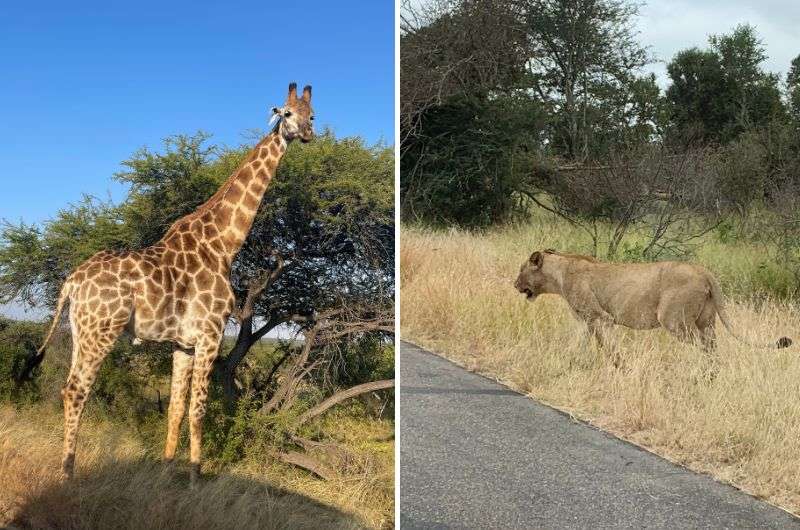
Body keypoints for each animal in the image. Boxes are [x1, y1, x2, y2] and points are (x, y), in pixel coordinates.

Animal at [28, 81, 316, 482]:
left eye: (312, 116)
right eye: (287, 114)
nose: (306, 134)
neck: (223, 243)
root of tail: (72, 281)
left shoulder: (183, 343)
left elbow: (176, 409)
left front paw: (167, 471)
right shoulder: (211, 334)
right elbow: (199, 410)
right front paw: (196, 475)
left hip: (79, 331)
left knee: (67, 388)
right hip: (102, 330)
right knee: (75, 391)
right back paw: (67, 473)